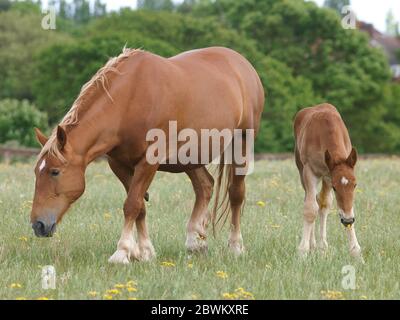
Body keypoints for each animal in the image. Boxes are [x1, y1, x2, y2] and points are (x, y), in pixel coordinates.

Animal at [31, 46, 266, 264]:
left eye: (54, 172)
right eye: (36, 172)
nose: (38, 224)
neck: (129, 99)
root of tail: (243, 65)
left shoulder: (148, 162)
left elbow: (132, 204)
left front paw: (122, 252)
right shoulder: (119, 165)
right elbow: (140, 207)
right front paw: (144, 251)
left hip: (242, 143)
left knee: (235, 194)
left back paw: (235, 246)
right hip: (190, 157)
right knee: (205, 186)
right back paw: (195, 241)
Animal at [294, 104, 362, 258]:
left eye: (355, 185)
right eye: (336, 187)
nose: (348, 220)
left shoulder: (330, 175)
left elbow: (339, 206)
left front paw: (355, 251)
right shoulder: (310, 172)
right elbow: (310, 209)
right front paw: (303, 251)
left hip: (325, 177)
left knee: (323, 202)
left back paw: (322, 246)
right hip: (303, 171)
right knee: (310, 200)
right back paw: (312, 245)